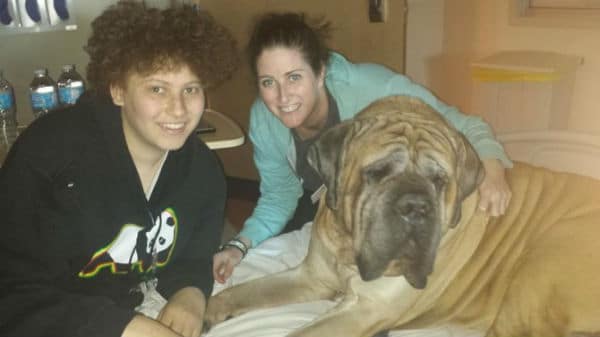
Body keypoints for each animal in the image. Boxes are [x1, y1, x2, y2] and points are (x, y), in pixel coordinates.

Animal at [205, 95, 600, 336]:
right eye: (377, 172)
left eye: (439, 180)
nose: (416, 207)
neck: (349, 247)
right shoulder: (311, 276)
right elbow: (245, 290)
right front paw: (209, 308)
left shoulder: (364, 308)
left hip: (545, 260)